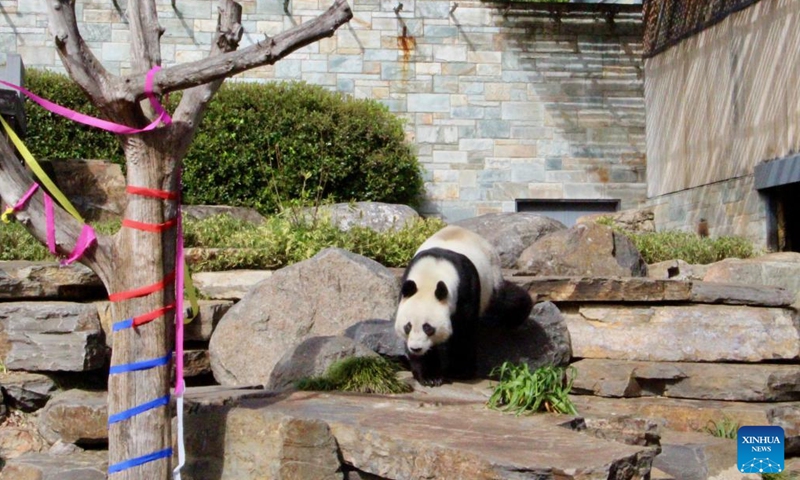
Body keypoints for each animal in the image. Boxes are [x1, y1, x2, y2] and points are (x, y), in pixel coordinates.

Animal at [394, 225, 532, 386]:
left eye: (428, 328)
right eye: (407, 326)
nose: (416, 348)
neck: (431, 274)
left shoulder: (466, 289)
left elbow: (464, 332)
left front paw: (459, 372)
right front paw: (429, 376)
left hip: (492, 281)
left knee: (505, 303)